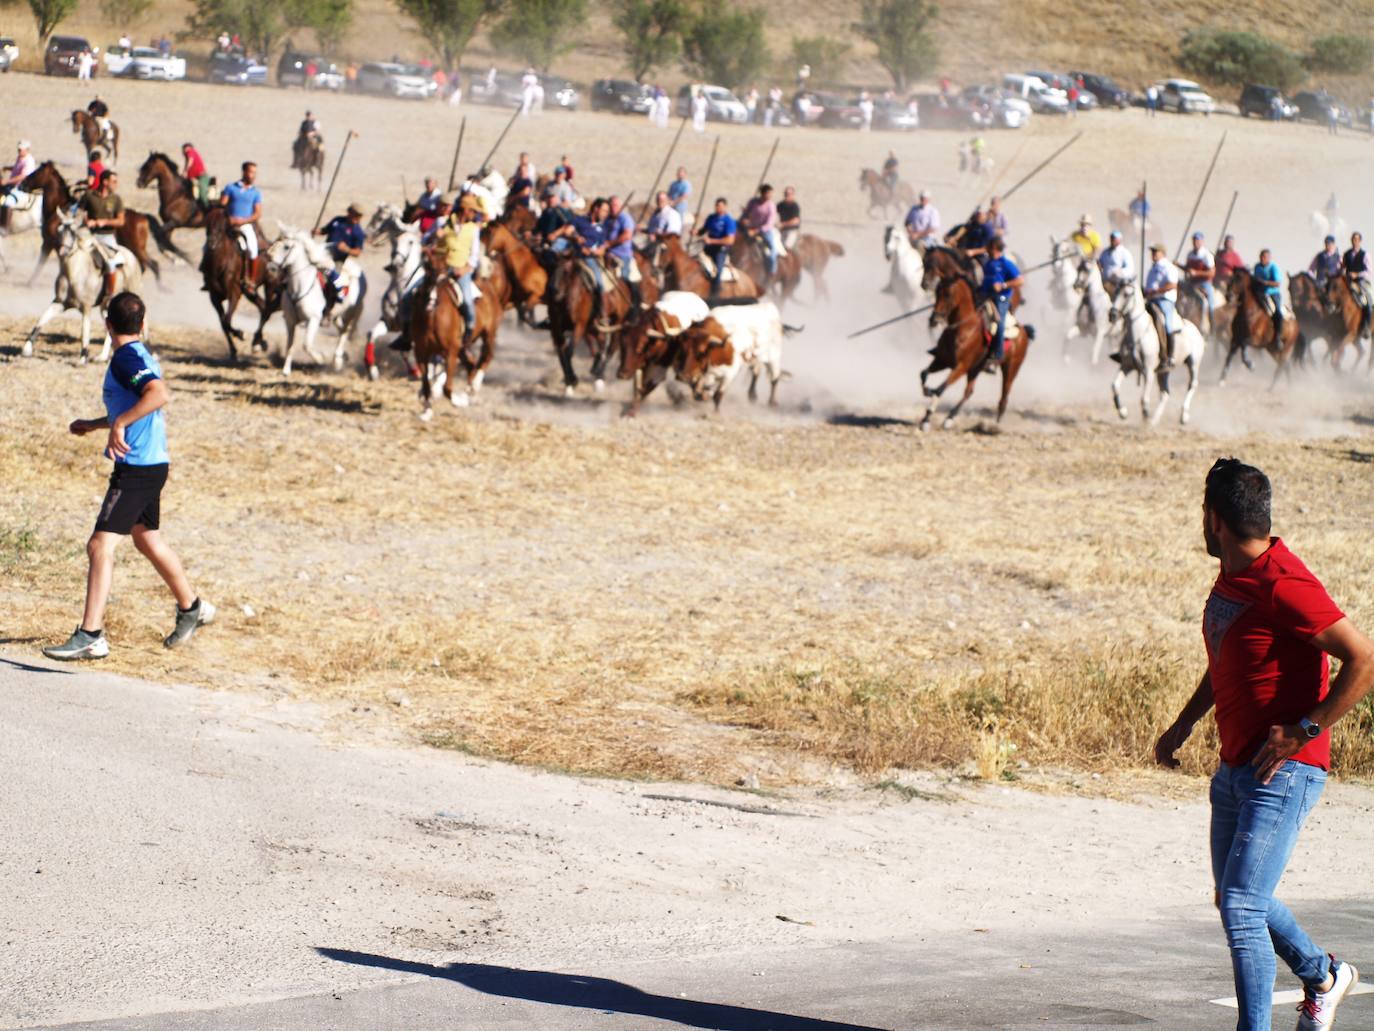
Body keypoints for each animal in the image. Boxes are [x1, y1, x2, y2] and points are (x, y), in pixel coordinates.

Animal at [24, 211, 143, 365]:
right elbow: (41, 320)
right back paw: (102, 356)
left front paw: (82, 358)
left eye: (73, 232)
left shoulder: (86, 308)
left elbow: (84, 332)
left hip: (132, 292)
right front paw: (27, 348)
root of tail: (131, 255)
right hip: (106, 306)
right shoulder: (59, 303)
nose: (63, 252)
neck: (73, 272)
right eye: (59, 230)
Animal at [200, 203, 274, 360]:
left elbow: (227, 320)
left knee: (267, 310)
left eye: (222, 224)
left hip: (270, 286)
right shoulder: (214, 298)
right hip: (250, 292)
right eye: (207, 221)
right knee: (262, 306)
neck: (219, 263)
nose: (211, 243)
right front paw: (233, 351)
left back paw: (257, 342)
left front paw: (240, 334)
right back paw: (259, 342)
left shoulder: (234, 294)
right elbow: (224, 324)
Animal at [917, 274, 1033, 431]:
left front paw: (927, 419)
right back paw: (949, 419)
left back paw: (995, 426)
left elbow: (941, 388)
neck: (963, 328)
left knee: (1004, 397)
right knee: (968, 392)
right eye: (936, 292)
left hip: (1010, 369)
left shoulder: (961, 366)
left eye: (948, 294)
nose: (934, 319)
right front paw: (927, 395)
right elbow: (923, 374)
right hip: (975, 369)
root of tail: (1024, 331)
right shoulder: (942, 360)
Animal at [1104, 280, 1203, 426]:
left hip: (1193, 363)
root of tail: (1196, 330)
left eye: (1127, 294)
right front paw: (1123, 412)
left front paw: (1145, 415)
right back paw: (1154, 420)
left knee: (1192, 385)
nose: (1112, 315)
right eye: (1115, 292)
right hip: (1164, 372)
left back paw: (1183, 415)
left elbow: (1144, 398)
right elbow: (1115, 386)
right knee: (1165, 393)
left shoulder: (1148, 370)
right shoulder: (1126, 366)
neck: (1138, 333)